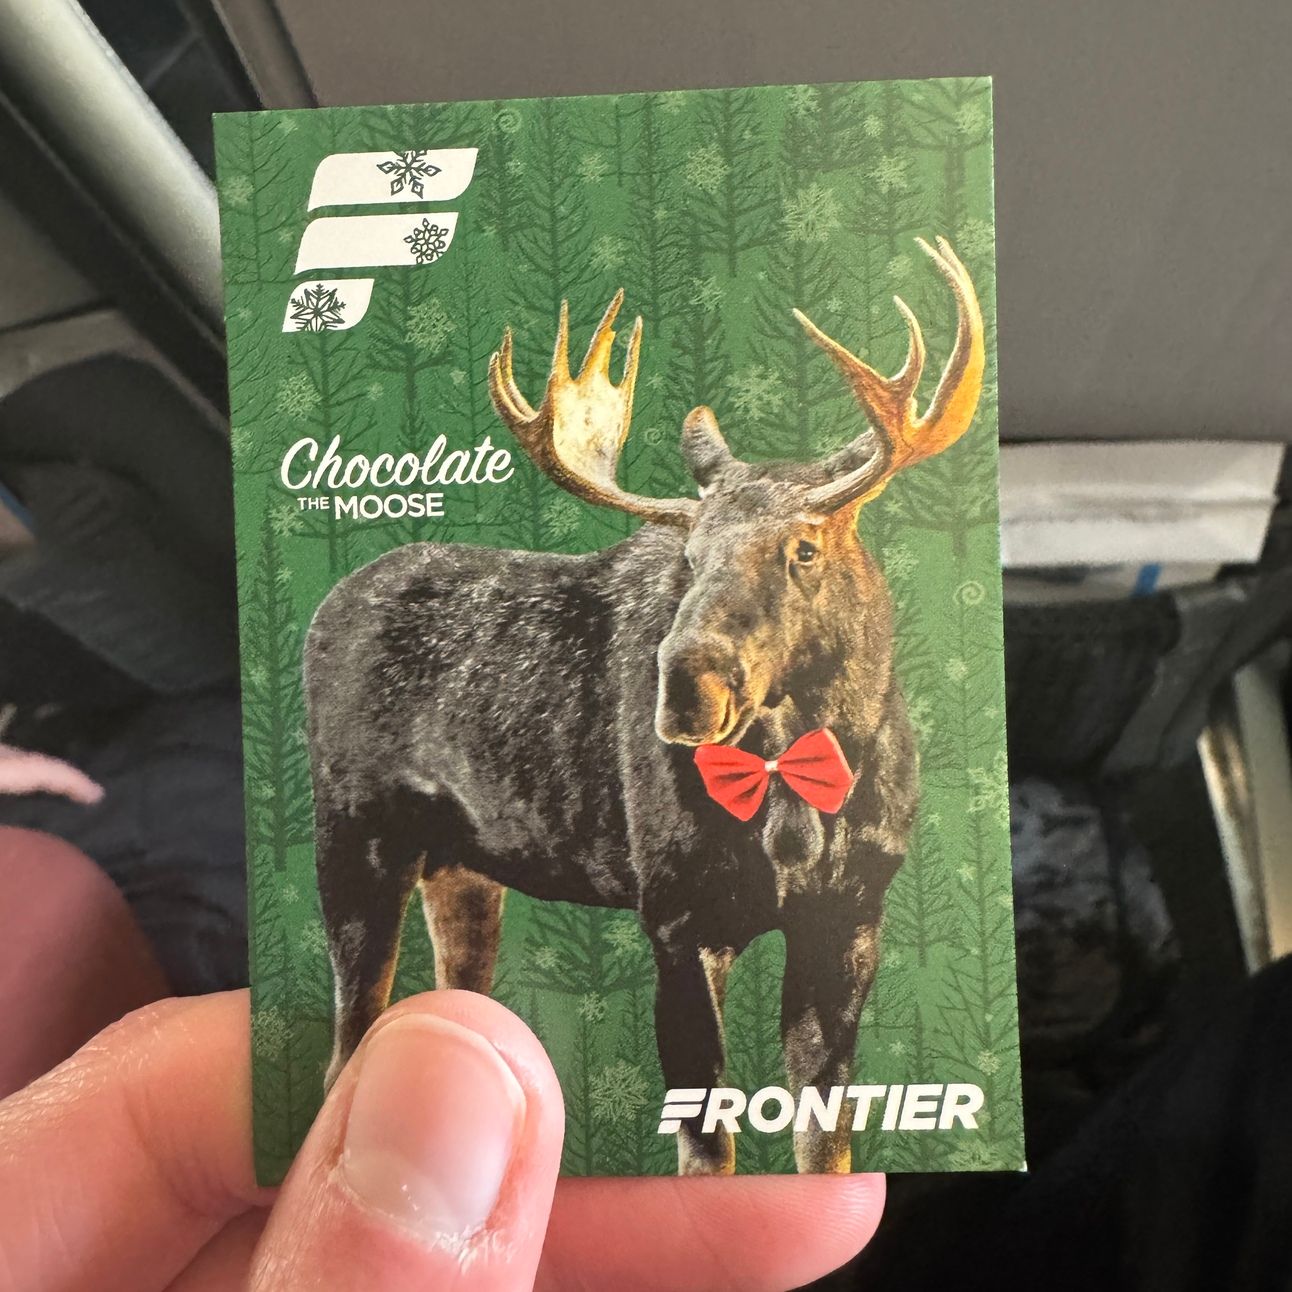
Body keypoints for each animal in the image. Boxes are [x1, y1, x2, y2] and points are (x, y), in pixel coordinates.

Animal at [305, 236, 984, 1174]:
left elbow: (824, 1141)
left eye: (805, 548)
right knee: (345, 1047)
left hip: (463, 865)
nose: (689, 684)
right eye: (689, 555)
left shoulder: (851, 914)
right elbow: (708, 1145)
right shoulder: (675, 916)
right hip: (354, 838)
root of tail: (322, 608)